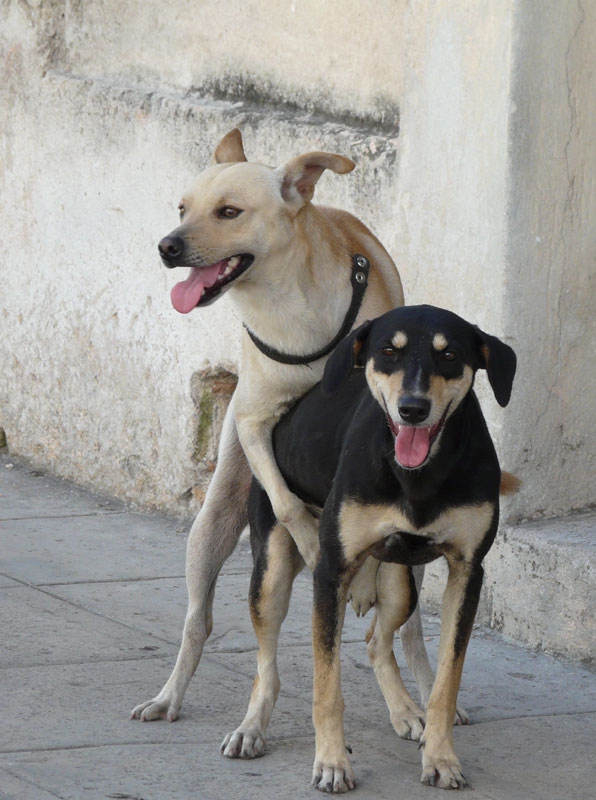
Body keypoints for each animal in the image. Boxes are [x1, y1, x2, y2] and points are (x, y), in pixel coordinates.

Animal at [130, 126, 456, 744]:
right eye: (182, 209)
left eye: (229, 212)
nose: (165, 246)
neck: (285, 306)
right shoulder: (256, 423)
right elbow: (284, 501)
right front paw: (309, 540)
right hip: (211, 526)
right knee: (199, 622)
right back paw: (169, 696)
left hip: (414, 565)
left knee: (407, 629)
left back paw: (421, 689)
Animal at [239, 306, 516, 792]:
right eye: (389, 351)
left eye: (449, 355)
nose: (413, 409)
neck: (418, 476)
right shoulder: (330, 570)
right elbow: (326, 687)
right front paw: (332, 762)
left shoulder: (468, 571)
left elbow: (446, 683)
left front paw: (440, 758)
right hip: (271, 571)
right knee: (266, 664)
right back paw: (251, 728)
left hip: (402, 584)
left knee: (375, 642)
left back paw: (406, 712)